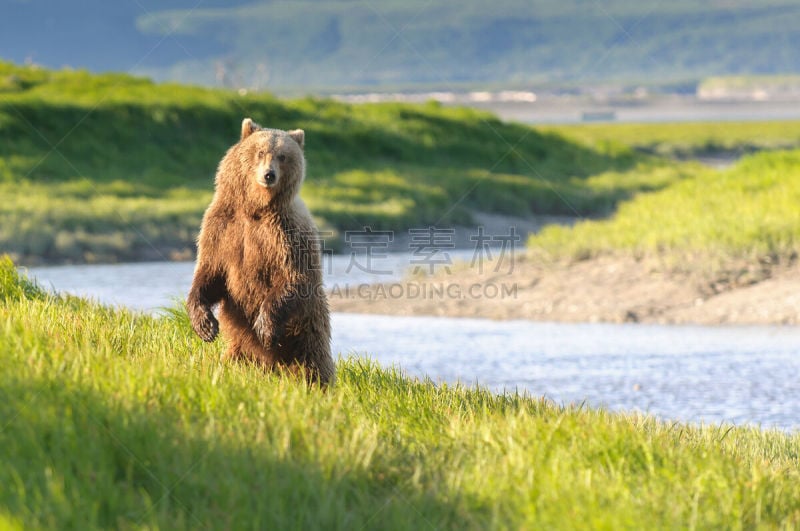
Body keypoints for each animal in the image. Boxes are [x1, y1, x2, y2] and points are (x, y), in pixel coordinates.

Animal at [188, 118, 334, 384]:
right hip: (242, 345)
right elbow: (210, 271)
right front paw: (205, 325)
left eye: (283, 156)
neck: (255, 209)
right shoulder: (223, 227)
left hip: (308, 329)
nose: (269, 174)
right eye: (260, 152)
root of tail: (272, 366)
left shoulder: (285, 234)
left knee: (312, 364)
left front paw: (265, 328)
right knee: (235, 359)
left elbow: (292, 276)